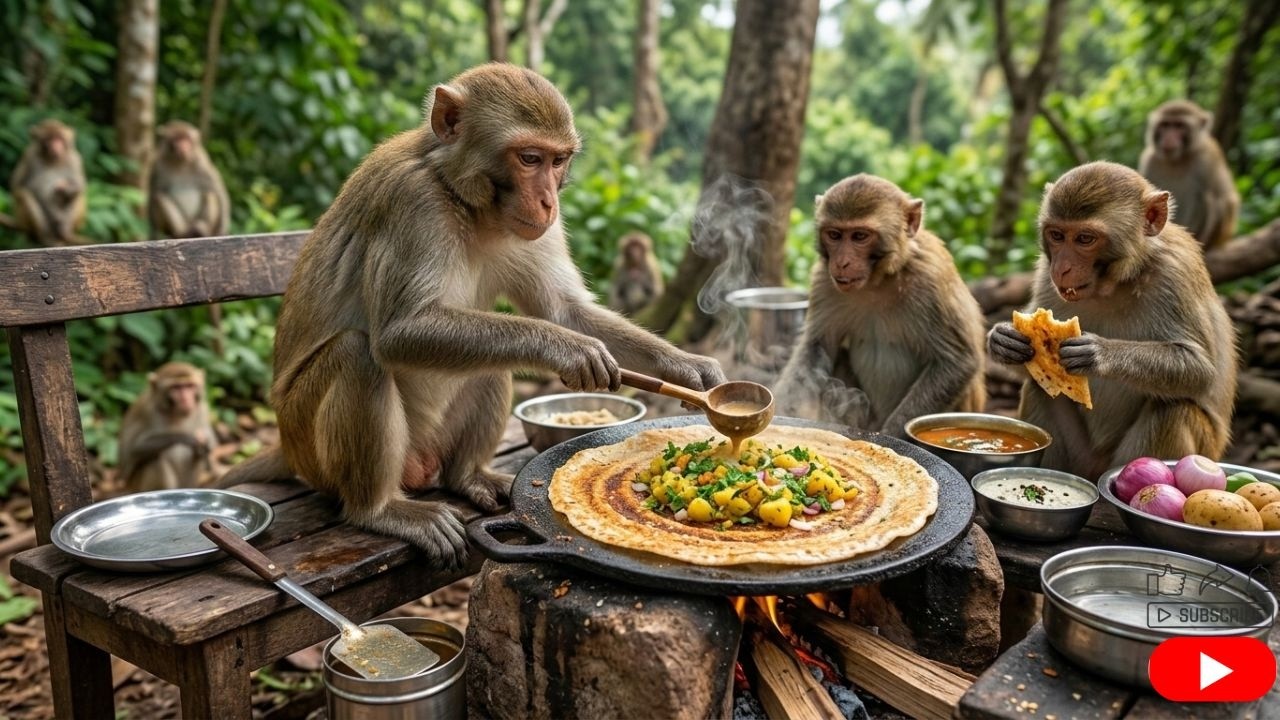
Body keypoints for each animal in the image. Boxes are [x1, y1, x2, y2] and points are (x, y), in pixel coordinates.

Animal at [118, 362, 218, 493]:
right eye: (176, 387)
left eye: (190, 386)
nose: (186, 399)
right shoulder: (147, 411)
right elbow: (134, 448)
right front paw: (188, 438)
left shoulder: (202, 409)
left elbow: (208, 442)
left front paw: (206, 443)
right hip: (136, 484)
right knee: (155, 461)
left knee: (197, 457)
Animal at [220, 64, 725, 567]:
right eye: (529, 158)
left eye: (557, 161)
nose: (549, 202)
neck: (461, 197)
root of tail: (287, 445)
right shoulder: (412, 202)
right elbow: (401, 332)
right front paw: (567, 350)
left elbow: (564, 309)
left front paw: (689, 369)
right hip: (310, 444)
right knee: (357, 355)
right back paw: (379, 510)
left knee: (489, 361)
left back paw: (467, 475)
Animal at [774, 174, 987, 438]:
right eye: (834, 235)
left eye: (859, 236)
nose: (842, 263)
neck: (879, 280)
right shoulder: (824, 280)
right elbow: (815, 351)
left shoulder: (930, 278)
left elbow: (957, 361)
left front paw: (891, 435)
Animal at [987, 161, 1237, 479]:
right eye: (1057, 235)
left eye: (1085, 239)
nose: (1063, 268)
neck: (1117, 282)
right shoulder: (1045, 273)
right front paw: (1003, 340)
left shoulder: (1175, 270)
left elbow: (1201, 370)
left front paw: (1100, 353)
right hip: (1079, 457)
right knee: (1038, 388)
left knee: (1174, 409)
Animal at [1138, 100, 1238, 250]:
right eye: (1165, 125)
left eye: (1179, 126)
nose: (1169, 137)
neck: (1177, 160)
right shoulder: (1149, 160)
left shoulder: (1208, 158)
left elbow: (1224, 199)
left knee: (1211, 199)